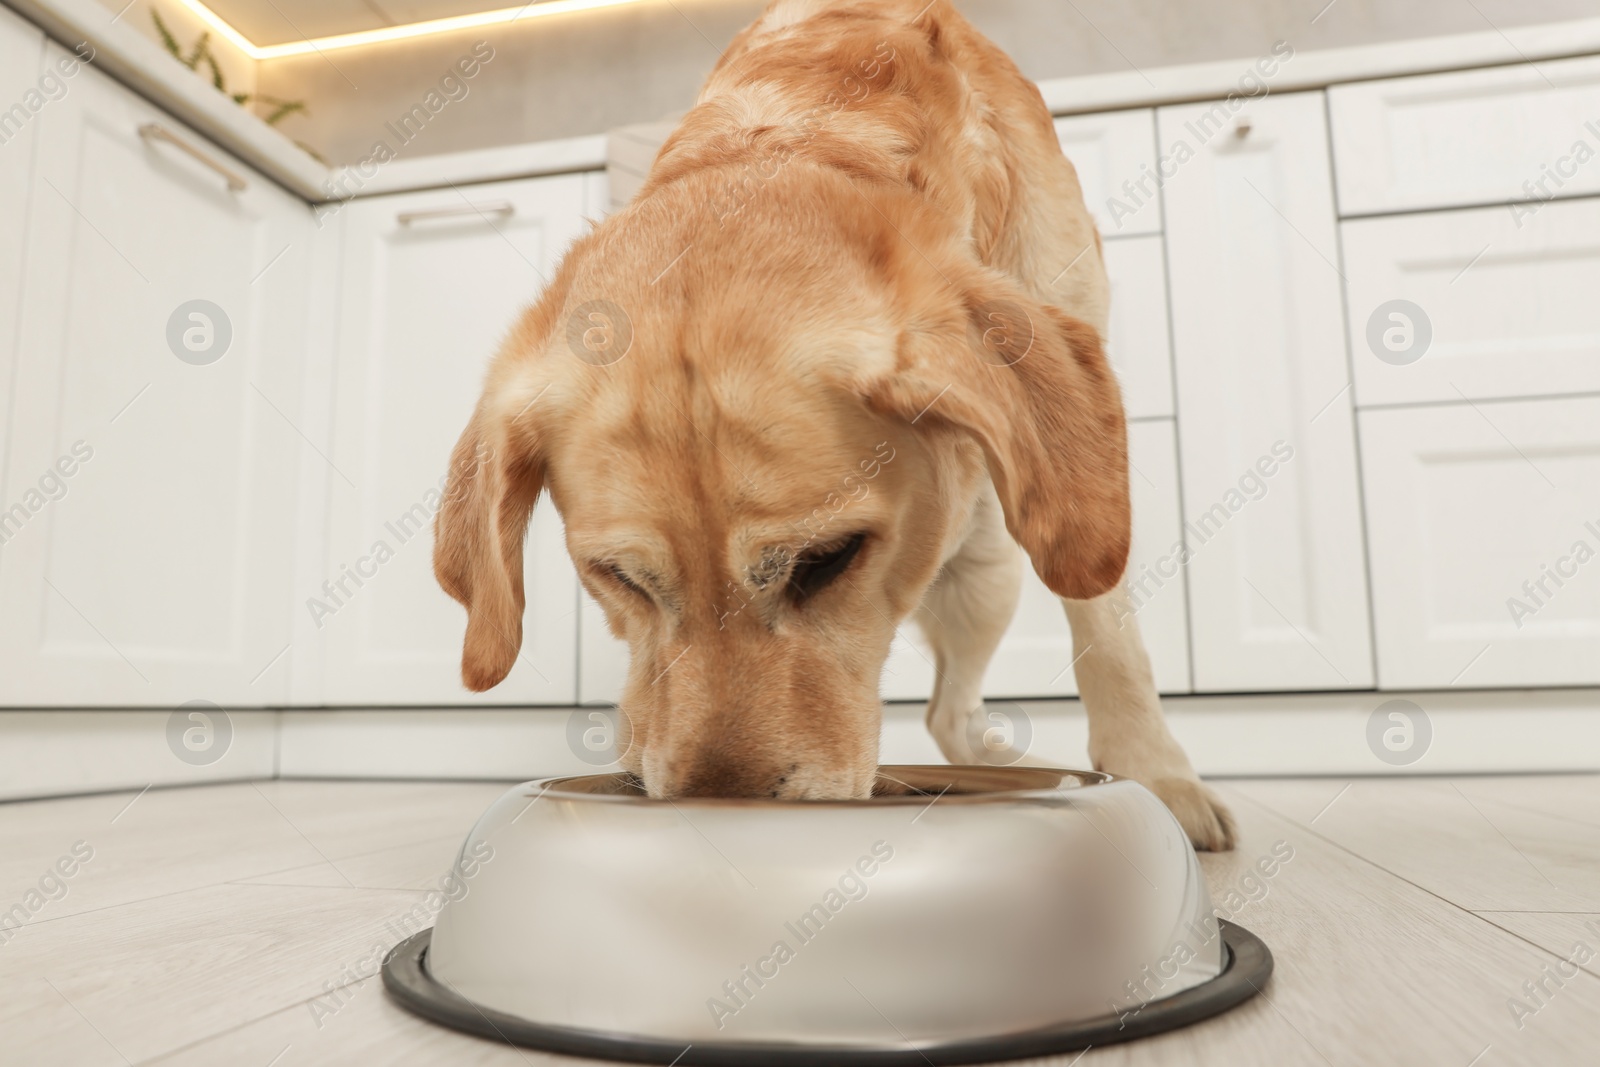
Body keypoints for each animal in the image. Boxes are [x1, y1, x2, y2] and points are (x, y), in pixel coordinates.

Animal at [428, 0, 1235, 851]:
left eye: (828, 559)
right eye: (617, 577)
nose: (717, 821)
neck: (807, 128)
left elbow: (1110, 634)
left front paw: (1157, 776)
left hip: (991, 571)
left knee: (954, 706)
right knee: (943, 712)